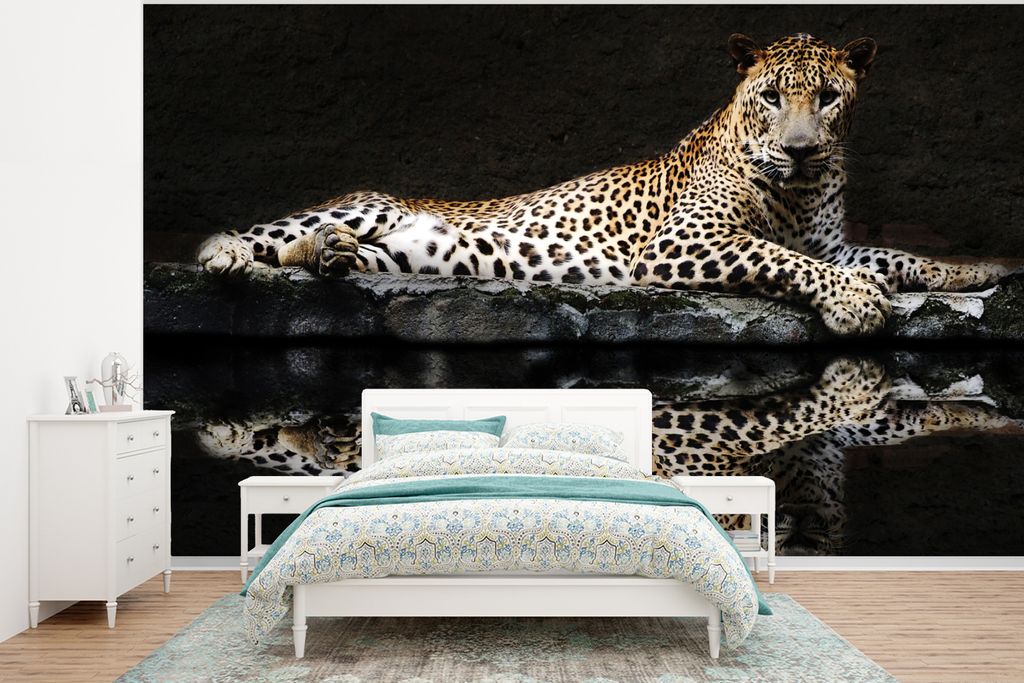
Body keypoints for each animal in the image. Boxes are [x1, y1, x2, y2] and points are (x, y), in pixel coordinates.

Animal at [196, 32, 1006, 336]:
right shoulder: (687, 242)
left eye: (830, 98)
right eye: (773, 97)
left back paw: (329, 255)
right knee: (268, 236)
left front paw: (975, 270)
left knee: (313, 253)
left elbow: (895, 256)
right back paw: (231, 254)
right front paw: (854, 304)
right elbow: (780, 258)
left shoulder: (833, 242)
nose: (802, 150)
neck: (800, 192)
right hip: (369, 204)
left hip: (403, 250)